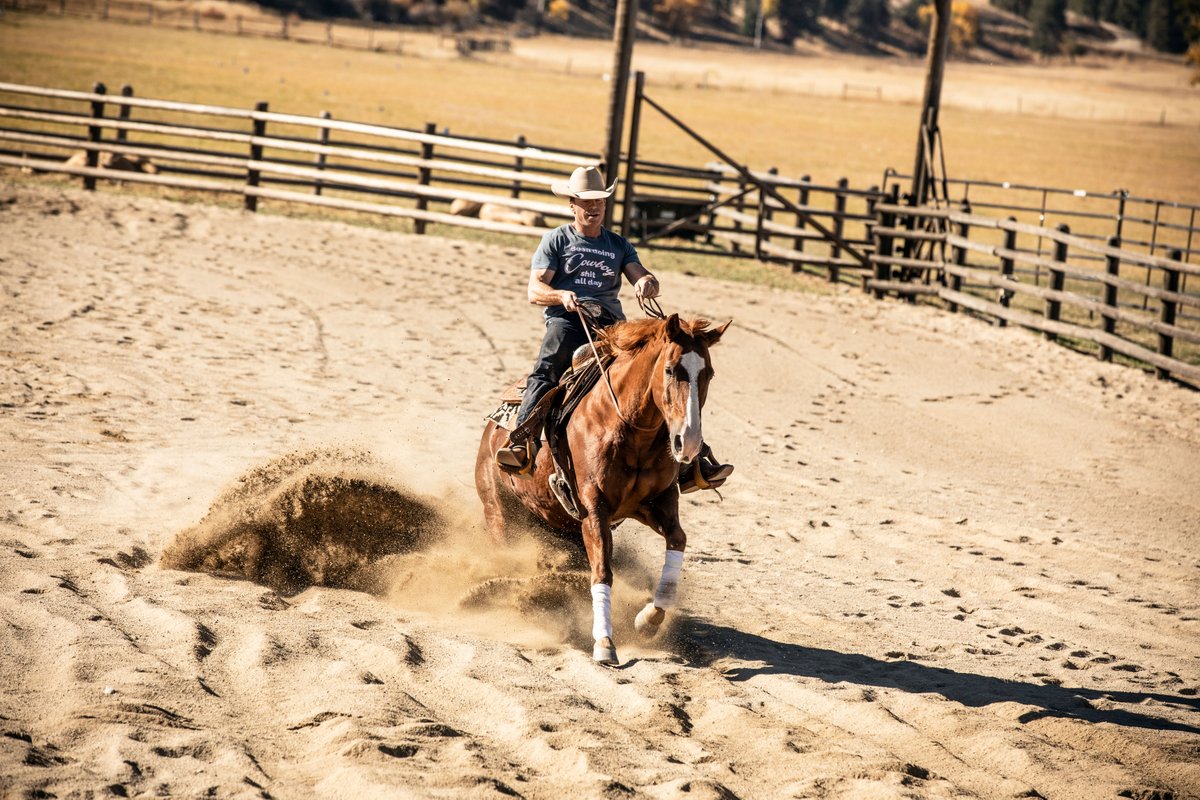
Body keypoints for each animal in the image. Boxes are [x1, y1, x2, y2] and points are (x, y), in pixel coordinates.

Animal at [475, 311, 729, 662]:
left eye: (709, 373)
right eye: (669, 369)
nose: (688, 442)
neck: (629, 429)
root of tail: (493, 430)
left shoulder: (655, 503)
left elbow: (677, 541)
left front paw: (648, 619)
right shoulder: (594, 510)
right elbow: (603, 573)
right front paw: (605, 642)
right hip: (498, 511)